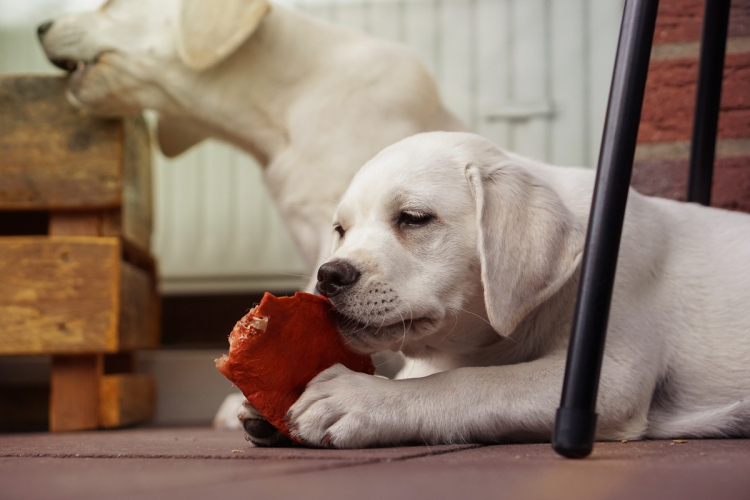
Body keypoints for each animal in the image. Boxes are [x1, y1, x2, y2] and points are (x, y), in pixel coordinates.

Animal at [276, 131, 750, 448]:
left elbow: (475, 382)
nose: (328, 276)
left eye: (413, 218)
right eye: (340, 230)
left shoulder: (612, 377)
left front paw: (361, 398)